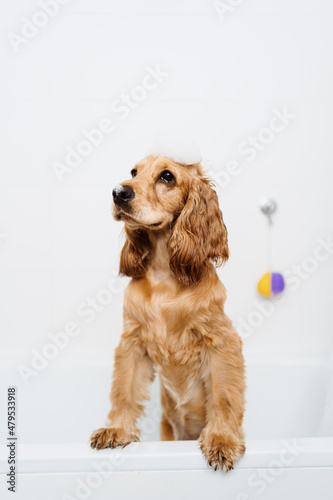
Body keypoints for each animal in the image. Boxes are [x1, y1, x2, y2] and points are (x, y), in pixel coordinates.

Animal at [89, 154, 245, 470]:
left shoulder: (221, 340)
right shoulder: (133, 340)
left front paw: (222, 440)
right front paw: (117, 429)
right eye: (133, 172)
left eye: (167, 177)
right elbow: (124, 389)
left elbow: (223, 395)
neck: (165, 273)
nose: (118, 192)